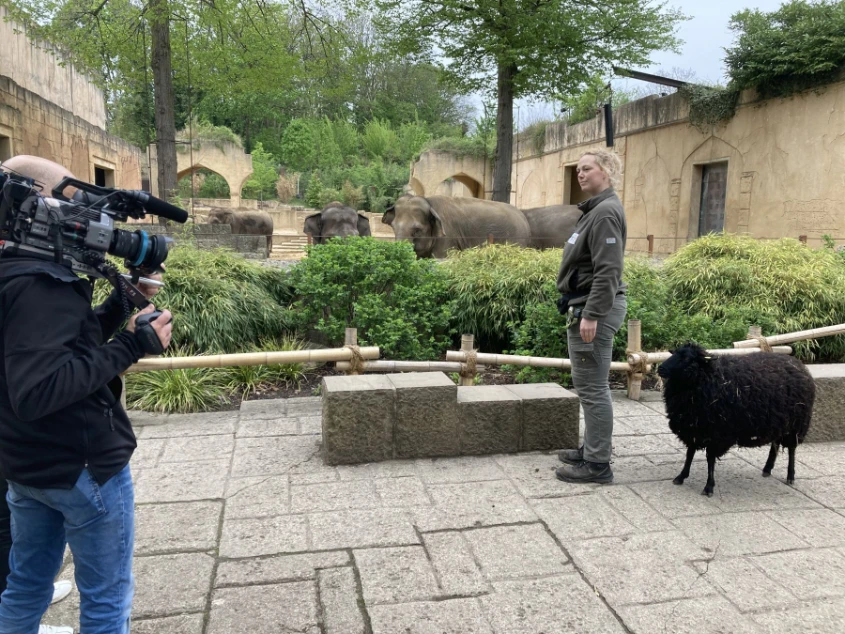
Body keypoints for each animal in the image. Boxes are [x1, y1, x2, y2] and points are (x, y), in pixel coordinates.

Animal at [658, 342, 815, 497]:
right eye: (675, 353)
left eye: (687, 359)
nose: (660, 368)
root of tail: (799, 364)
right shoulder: (694, 428)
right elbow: (689, 454)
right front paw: (681, 476)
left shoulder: (716, 433)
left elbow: (710, 458)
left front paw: (709, 487)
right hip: (779, 422)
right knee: (775, 444)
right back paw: (767, 468)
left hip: (796, 425)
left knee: (792, 450)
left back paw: (790, 476)